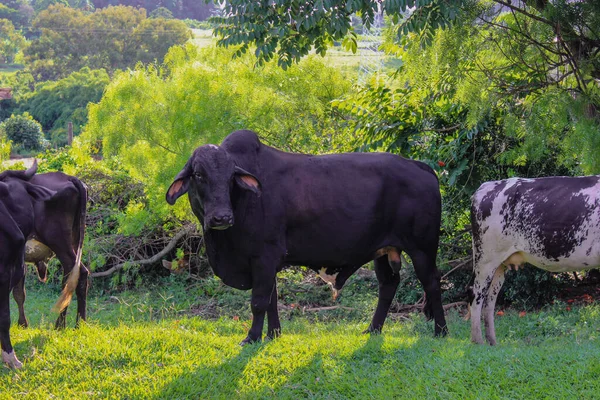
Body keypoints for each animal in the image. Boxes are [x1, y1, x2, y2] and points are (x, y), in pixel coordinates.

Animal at [164, 129, 446, 344]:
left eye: (231, 176)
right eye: (198, 174)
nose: (222, 217)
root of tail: (421, 167)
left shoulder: (264, 256)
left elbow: (258, 301)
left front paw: (252, 337)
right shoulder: (268, 263)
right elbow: (271, 300)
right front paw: (273, 334)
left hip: (423, 249)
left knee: (433, 283)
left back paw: (441, 331)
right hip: (384, 251)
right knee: (388, 285)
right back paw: (373, 329)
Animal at [468, 177, 600, 346]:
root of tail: (484, 187)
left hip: (499, 265)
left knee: (489, 301)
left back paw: (493, 342)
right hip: (485, 259)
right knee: (475, 295)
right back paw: (478, 341)